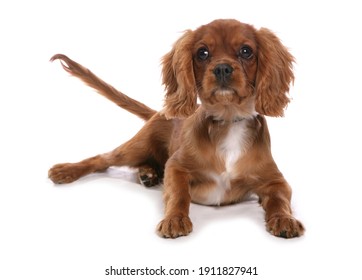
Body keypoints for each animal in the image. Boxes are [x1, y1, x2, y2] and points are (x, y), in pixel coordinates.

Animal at [48, 19, 304, 238]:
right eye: (202, 53)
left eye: (246, 51)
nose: (222, 68)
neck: (228, 119)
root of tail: (157, 112)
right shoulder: (176, 166)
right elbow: (179, 194)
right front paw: (175, 220)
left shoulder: (275, 180)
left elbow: (279, 200)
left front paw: (284, 219)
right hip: (136, 146)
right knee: (103, 158)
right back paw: (66, 170)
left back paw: (148, 173)